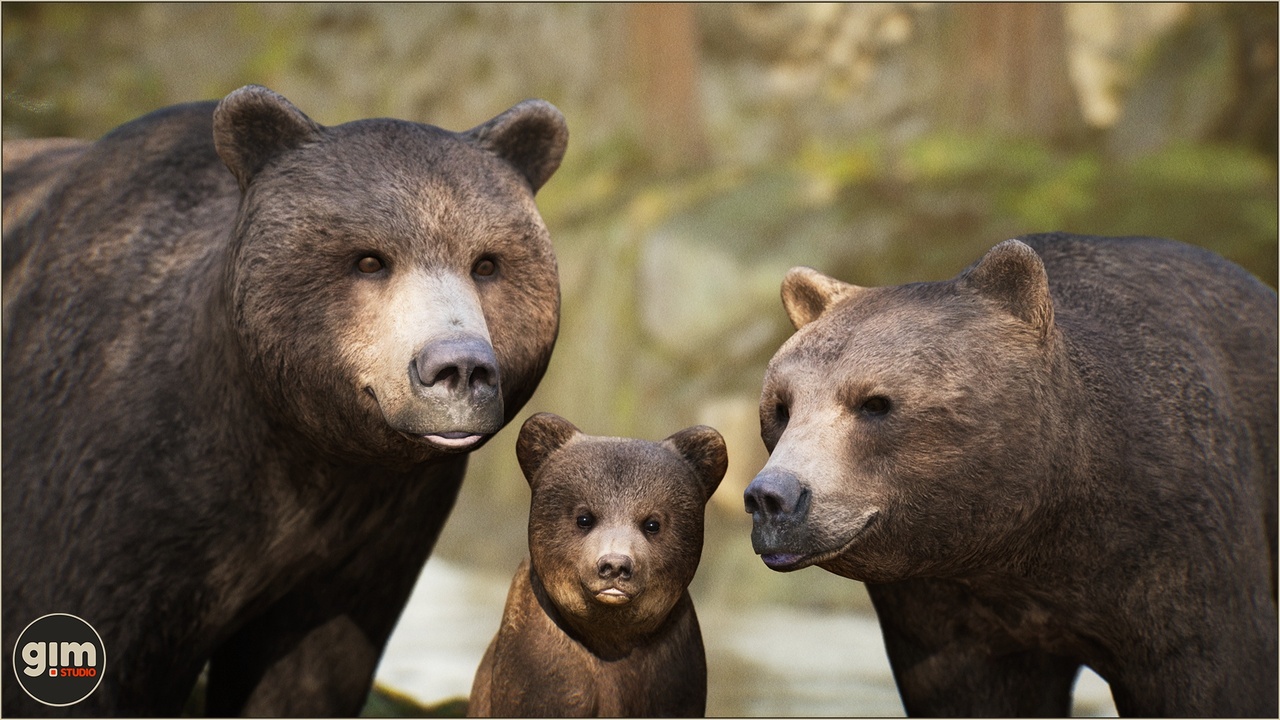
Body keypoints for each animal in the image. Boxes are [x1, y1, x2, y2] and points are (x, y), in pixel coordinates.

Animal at [2, 85, 567, 716]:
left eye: (487, 263)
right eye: (369, 259)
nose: (459, 368)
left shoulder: (368, 546)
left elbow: (306, 677)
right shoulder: (102, 496)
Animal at [468, 412, 727, 717]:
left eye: (653, 523)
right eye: (584, 518)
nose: (615, 565)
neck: (610, 641)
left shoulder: (671, 670)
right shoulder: (541, 667)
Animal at [743, 233, 1277, 717]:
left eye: (875, 403)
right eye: (781, 407)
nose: (773, 497)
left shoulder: (1175, 553)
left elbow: (1213, 675)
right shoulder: (940, 609)